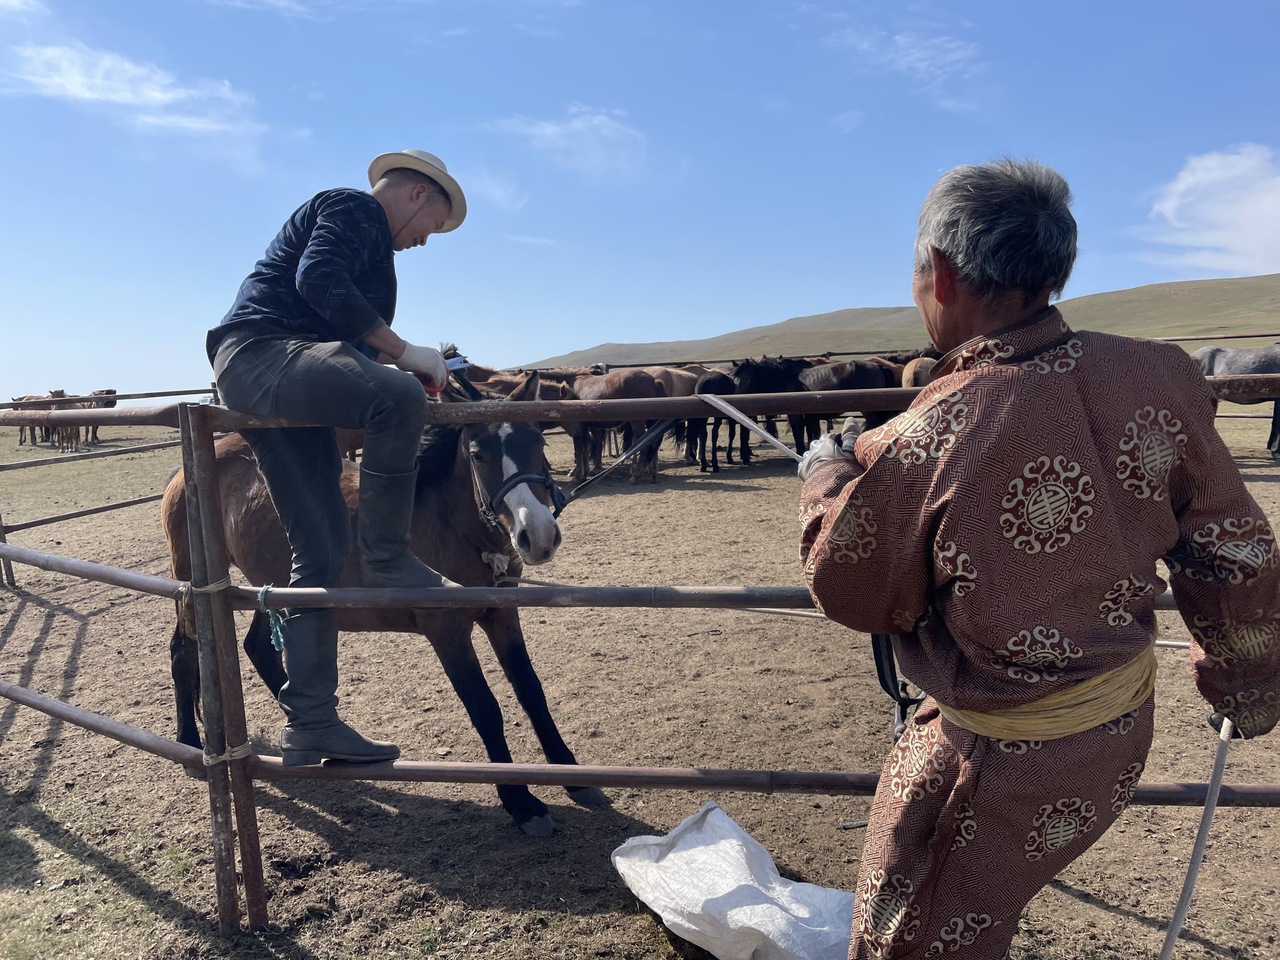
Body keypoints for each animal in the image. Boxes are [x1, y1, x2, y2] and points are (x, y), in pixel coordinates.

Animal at [160, 371, 609, 839]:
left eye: (537, 443)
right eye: (478, 454)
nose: (537, 535)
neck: (447, 523)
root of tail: (190, 467)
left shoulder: (502, 615)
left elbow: (531, 691)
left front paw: (574, 776)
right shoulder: (446, 632)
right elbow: (485, 708)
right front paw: (521, 803)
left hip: (281, 588)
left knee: (259, 648)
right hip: (192, 582)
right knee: (183, 652)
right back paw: (191, 743)